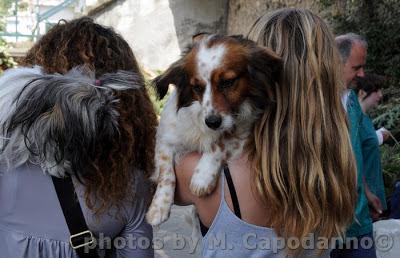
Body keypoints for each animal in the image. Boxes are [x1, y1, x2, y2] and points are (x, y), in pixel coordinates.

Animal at [146, 34, 282, 226]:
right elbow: (166, 174)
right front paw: (159, 207)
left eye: (228, 82)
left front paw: (202, 178)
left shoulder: (242, 130)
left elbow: (219, 144)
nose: (212, 122)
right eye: (197, 87)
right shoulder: (165, 139)